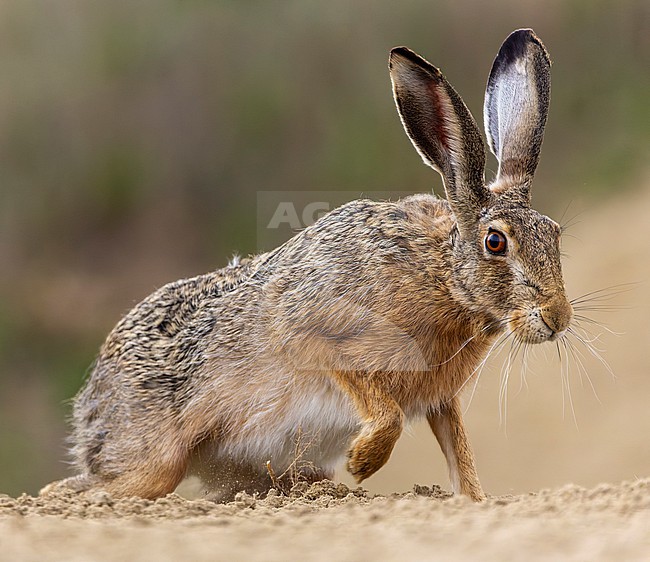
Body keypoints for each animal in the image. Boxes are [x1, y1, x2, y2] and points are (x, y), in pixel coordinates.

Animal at [41, 28, 572, 502]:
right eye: (495, 242)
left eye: (555, 234)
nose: (558, 318)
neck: (440, 274)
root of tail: (90, 400)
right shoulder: (315, 334)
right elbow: (381, 408)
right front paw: (363, 461)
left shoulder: (440, 398)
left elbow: (460, 453)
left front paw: (474, 498)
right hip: (154, 459)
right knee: (91, 487)